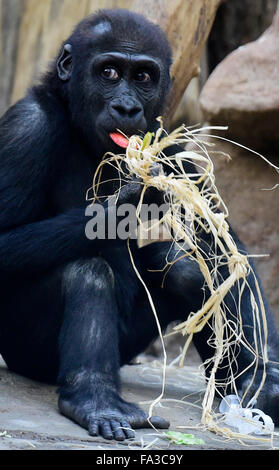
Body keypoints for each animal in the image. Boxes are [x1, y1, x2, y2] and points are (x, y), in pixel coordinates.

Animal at [0, 8, 279, 440]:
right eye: (109, 72)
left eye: (143, 77)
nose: (128, 108)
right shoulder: (25, 130)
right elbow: (5, 240)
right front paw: (129, 204)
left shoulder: (169, 144)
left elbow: (223, 243)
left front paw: (265, 377)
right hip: (23, 352)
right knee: (86, 273)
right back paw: (95, 399)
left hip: (129, 344)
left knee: (186, 269)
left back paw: (238, 389)